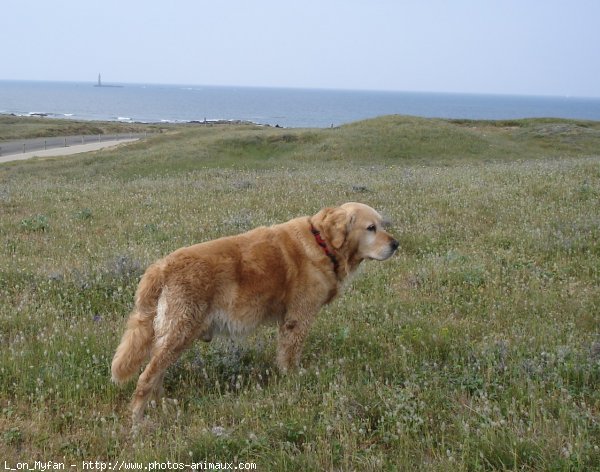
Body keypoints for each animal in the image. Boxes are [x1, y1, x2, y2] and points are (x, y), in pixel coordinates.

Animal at [110, 201, 398, 422]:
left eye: (382, 224)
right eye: (371, 228)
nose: (396, 244)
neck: (322, 243)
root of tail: (161, 266)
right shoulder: (298, 319)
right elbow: (289, 356)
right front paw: (293, 380)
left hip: (170, 336)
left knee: (156, 373)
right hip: (179, 332)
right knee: (146, 377)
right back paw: (138, 419)